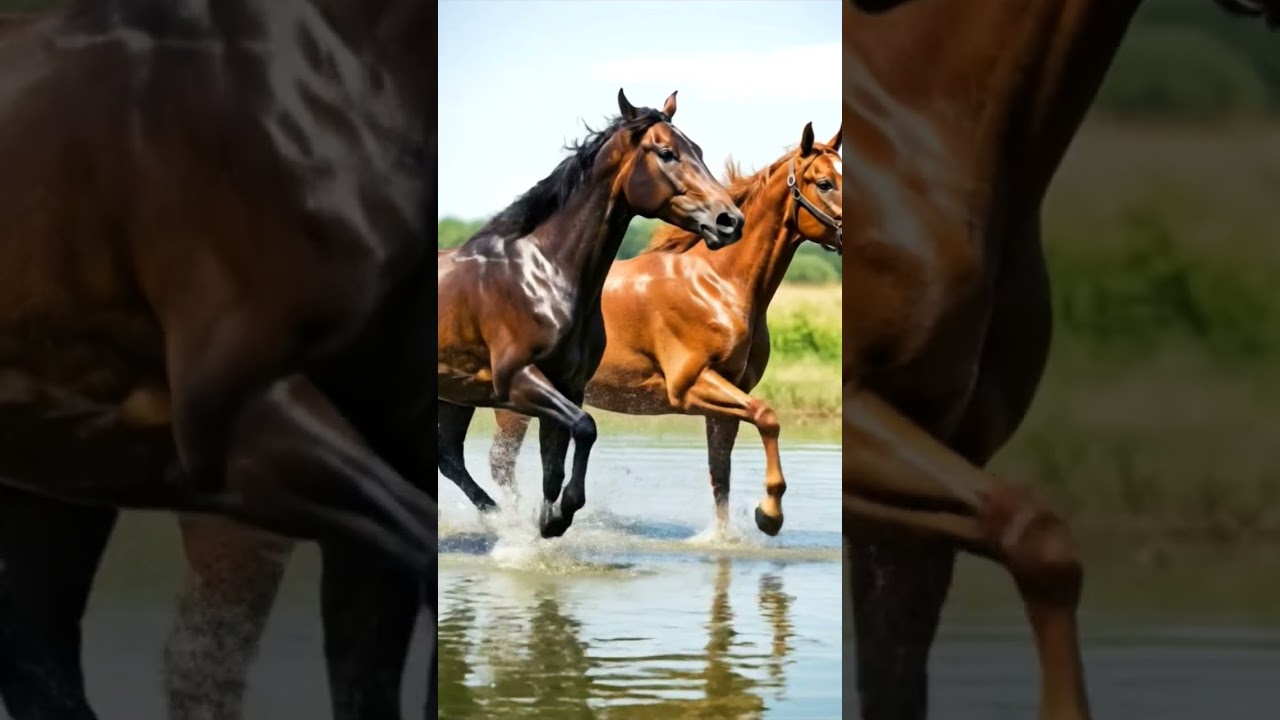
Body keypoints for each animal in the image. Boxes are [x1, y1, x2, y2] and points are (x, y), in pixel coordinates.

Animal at [438, 88, 745, 540]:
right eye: (666, 153)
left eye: (699, 151)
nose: (729, 221)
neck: (542, 275)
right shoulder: (518, 381)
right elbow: (586, 427)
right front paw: (557, 516)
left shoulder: (568, 385)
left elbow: (555, 463)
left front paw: (549, 521)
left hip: (457, 396)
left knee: (449, 457)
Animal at [487, 121, 843, 538]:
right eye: (824, 183)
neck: (717, 283)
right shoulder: (689, 386)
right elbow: (767, 416)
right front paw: (769, 514)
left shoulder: (727, 396)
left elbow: (720, 474)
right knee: (501, 464)